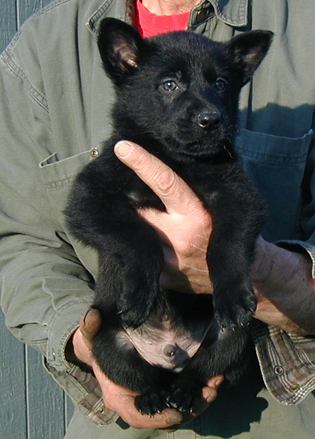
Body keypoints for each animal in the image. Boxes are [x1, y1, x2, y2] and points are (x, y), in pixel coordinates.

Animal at [65, 19, 274, 416]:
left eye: (220, 83)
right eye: (169, 85)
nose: (211, 120)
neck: (176, 159)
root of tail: (170, 351)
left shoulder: (238, 195)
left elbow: (226, 244)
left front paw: (232, 295)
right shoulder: (88, 200)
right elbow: (137, 235)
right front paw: (139, 291)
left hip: (232, 337)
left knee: (199, 369)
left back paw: (185, 392)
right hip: (106, 339)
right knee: (140, 376)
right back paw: (151, 397)